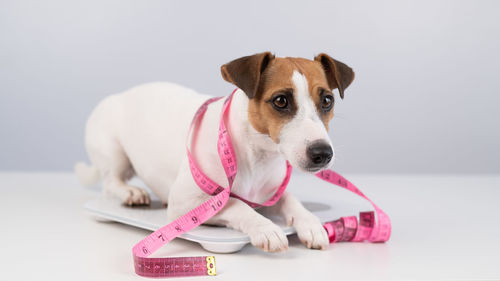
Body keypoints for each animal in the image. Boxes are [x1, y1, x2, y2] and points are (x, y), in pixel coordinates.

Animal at [75, 52, 356, 252]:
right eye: (280, 101)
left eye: (327, 100)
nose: (323, 153)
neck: (255, 154)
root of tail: (120, 95)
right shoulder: (185, 203)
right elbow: (235, 204)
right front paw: (265, 227)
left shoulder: (271, 194)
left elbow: (292, 202)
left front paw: (310, 223)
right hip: (114, 152)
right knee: (110, 181)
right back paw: (130, 192)